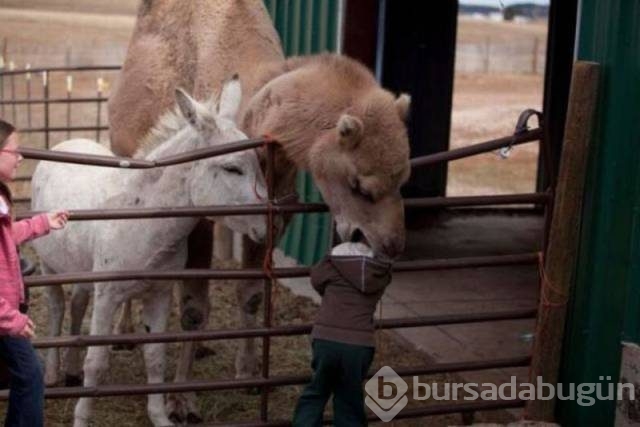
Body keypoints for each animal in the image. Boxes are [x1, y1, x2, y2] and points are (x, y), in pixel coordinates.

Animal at [107, 0, 412, 422]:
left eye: (404, 178)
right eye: (360, 186)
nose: (392, 243)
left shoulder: (274, 213)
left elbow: (250, 294)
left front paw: (250, 374)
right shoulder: (198, 218)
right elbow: (194, 307)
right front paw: (182, 400)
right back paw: (123, 336)